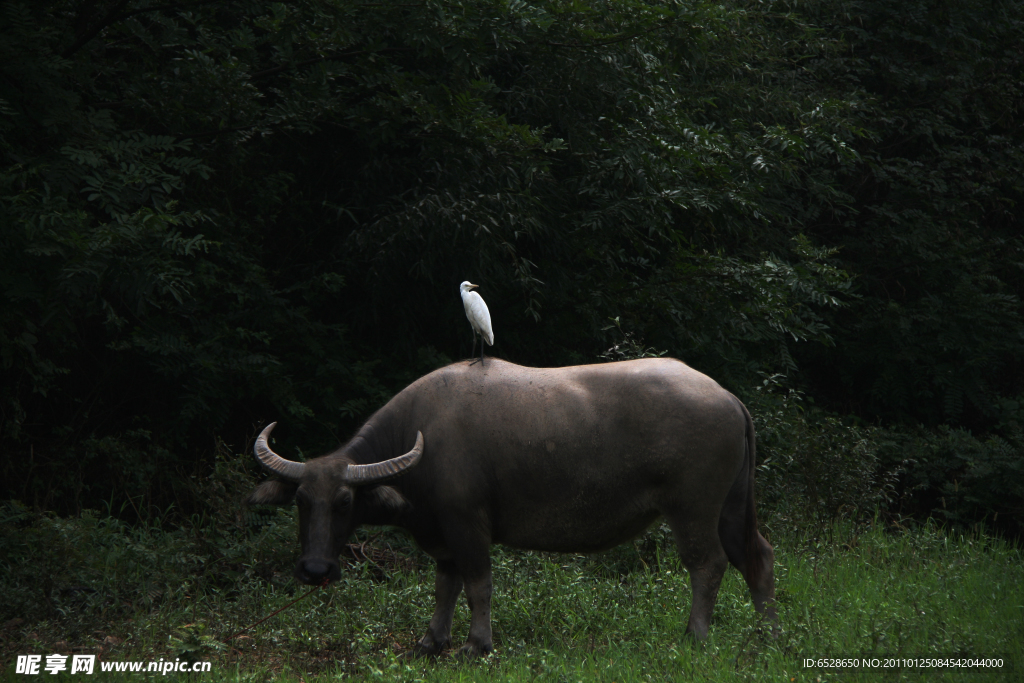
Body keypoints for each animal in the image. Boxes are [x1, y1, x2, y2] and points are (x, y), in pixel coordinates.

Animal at [247, 358, 774, 655]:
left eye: (343, 501)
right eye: (301, 501)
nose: (315, 569)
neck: (422, 439)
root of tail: (726, 397)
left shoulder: (468, 525)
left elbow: (478, 585)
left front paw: (477, 644)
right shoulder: (442, 536)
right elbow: (445, 587)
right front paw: (431, 641)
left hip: (693, 508)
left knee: (708, 564)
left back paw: (696, 636)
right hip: (731, 504)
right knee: (757, 556)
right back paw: (765, 631)